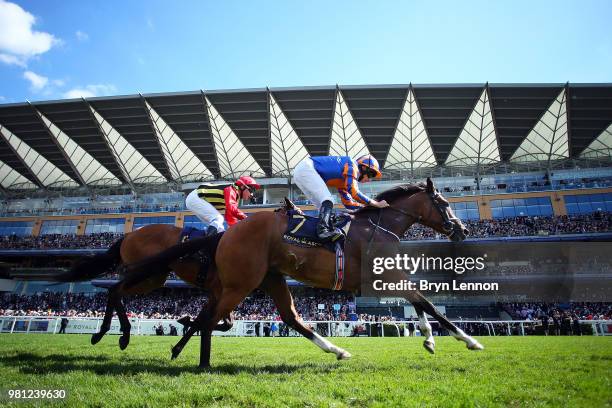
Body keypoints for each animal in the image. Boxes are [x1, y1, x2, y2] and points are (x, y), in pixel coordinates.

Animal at [163, 178, 482, 366]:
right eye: (444, 203)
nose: (463, 230)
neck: (379, 227)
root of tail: (227, 233)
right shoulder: (385, 276)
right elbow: (427, 303)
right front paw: (469, 340)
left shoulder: (388, 276)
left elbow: (418, 303)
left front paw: (429, 339)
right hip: (240, 284)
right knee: (210, 319)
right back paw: (201, 361)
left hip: (267, 278)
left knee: (287, 318)